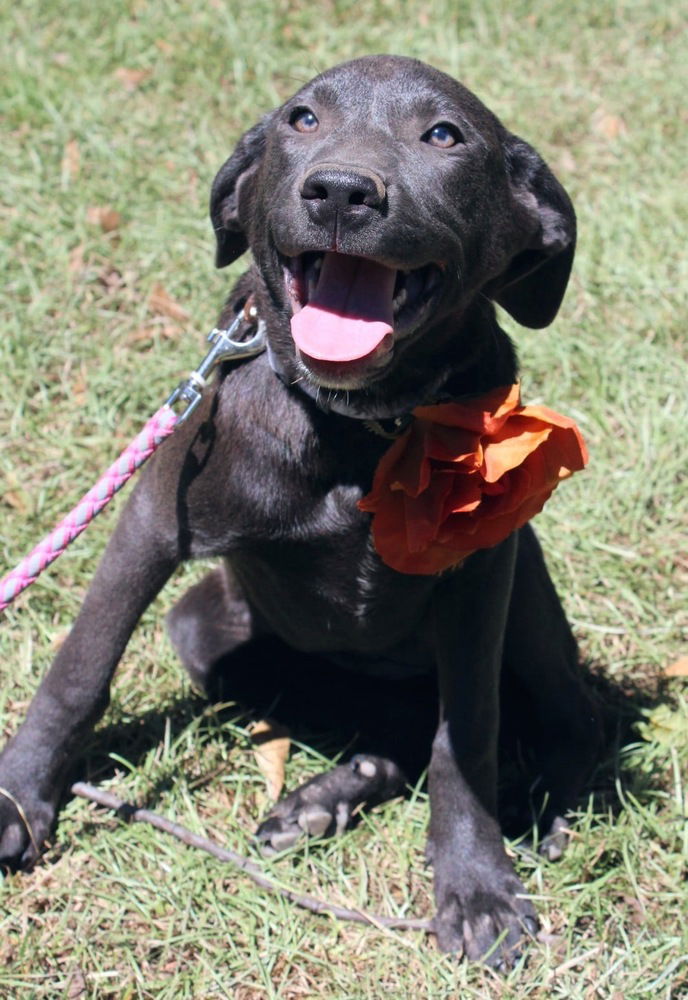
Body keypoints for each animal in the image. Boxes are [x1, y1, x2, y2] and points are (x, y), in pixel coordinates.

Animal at [0, 56, 600, 968]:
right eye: (302, 119)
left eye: (444, 136)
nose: (343, 192)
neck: (362, 424)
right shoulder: (154, 518)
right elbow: (80, 668)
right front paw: (19, 798)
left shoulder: (479, 580)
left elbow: (468, 736)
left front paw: (476, 885)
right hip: (206, 632)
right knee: (388, 731)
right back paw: (320, 798)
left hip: (529, 611)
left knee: (562, 715)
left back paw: (539, 809)